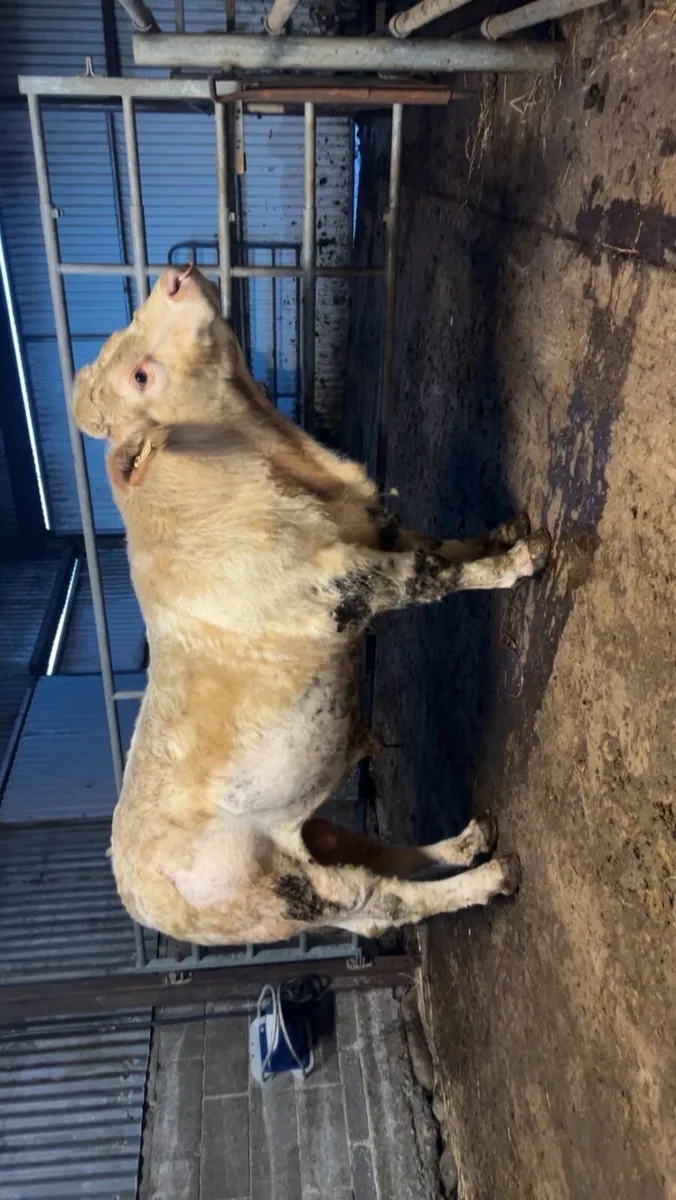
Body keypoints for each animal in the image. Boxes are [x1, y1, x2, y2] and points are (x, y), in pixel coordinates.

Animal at [72, 264, 550, 946]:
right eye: (141, 375)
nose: (174, 274)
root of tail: (138, 898)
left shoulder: (376, 534)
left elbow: (441, 545)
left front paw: (503, 535)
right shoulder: (347, 584)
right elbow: (434, 573)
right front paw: (519, 561)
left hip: (316, 831)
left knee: (382, 863)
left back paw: (467, 843)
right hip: (285, 892)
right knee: (384, 900)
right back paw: (489, 875)